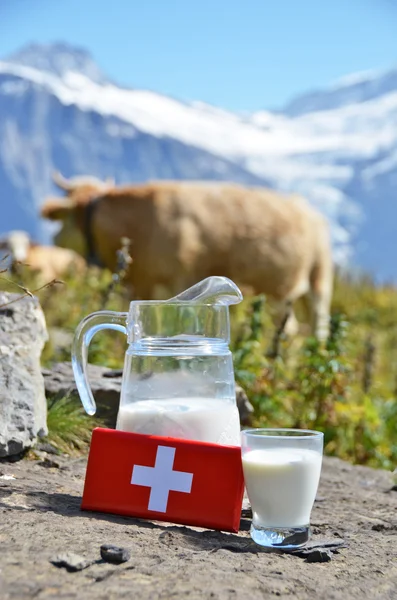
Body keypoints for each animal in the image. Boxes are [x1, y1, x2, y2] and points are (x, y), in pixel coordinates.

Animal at [41, 176, 332, 340]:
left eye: (64, 218)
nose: (54, 239)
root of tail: (307, 207)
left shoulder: (180, 280)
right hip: (283, 295)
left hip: (318, 278)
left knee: (317, 325)